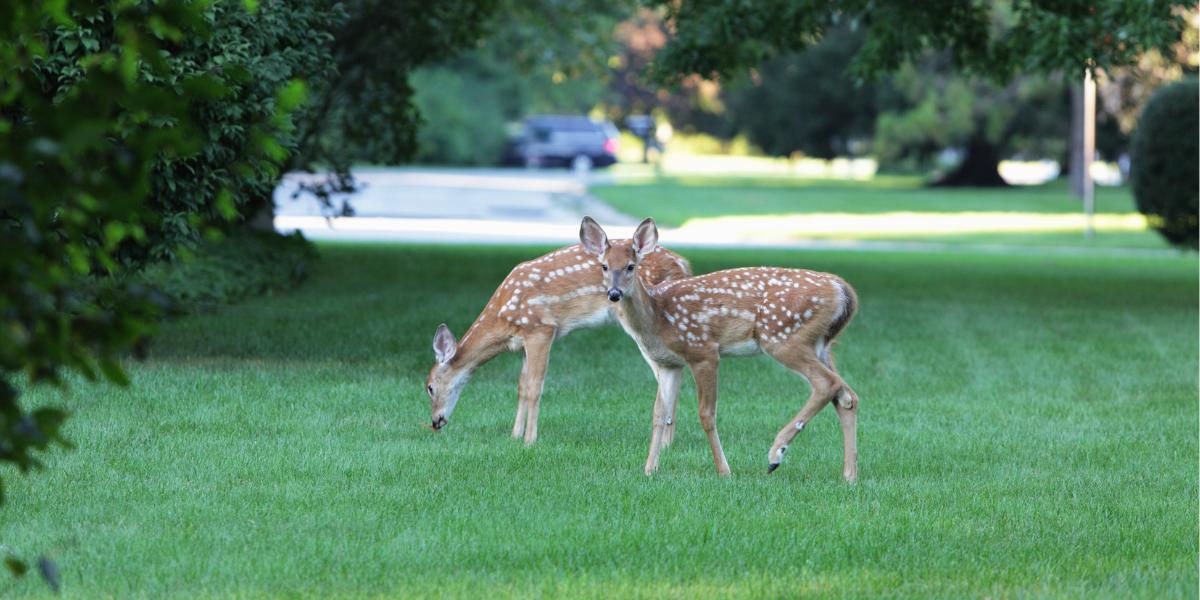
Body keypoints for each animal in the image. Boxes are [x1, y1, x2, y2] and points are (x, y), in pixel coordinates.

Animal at [432, 241, 696, 444]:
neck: (503, 317)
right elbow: (521, 386)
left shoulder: (541, 326)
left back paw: (667, 442)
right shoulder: (525, 338)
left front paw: (529, 440)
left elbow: (534, 387)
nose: (435, 421)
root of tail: (684, 264)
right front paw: (514, 435)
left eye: (430, 387)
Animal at [583, 216, 859, 477]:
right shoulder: (669, 363)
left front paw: (723, 471)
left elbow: (707, 415)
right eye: (604, 266)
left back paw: (776, 454)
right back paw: (849, 475)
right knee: (847, 396)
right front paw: (650, 469)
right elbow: (659, 414)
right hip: (819, 344)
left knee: (827, 384)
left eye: (631, 266)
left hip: (782, 336)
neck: (657, 318)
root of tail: (843, 290)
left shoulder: (702, 350)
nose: (614, 293)